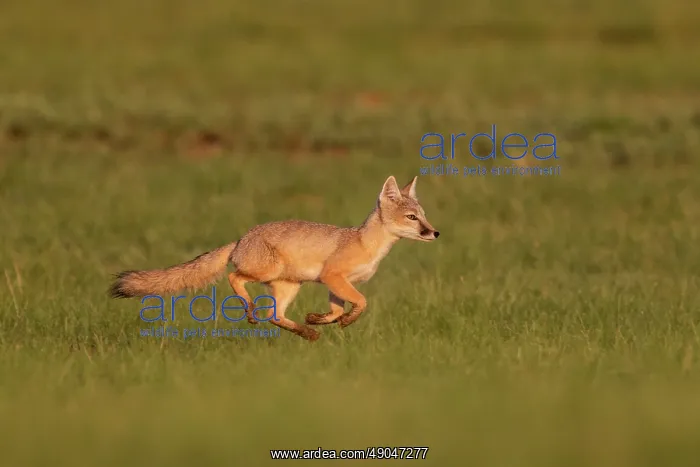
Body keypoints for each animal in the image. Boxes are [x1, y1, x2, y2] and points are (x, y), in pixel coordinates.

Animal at [109, 175, 439, 341]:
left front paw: (321, 319)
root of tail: (242, 238)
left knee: (275, 315)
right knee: (235, 278)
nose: (435, 232)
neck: (366, 243)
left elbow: (337, 309)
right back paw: (250, 311)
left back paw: (307, 332)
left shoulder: (335, 283)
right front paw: (346, 320)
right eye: (412, 218)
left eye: (424, 216)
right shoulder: (333, 276)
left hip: (289, 286)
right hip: (268, 273)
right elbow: (362, 302)